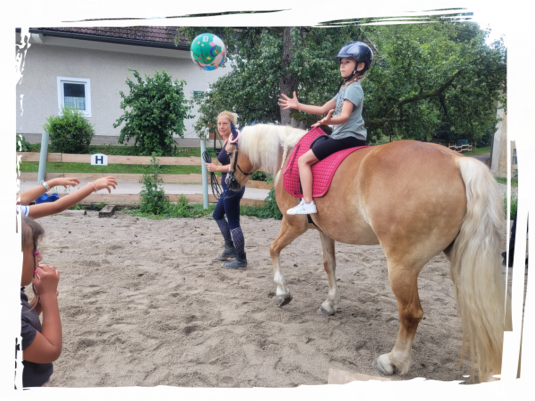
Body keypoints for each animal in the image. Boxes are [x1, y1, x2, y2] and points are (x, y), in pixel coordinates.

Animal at [225, 122, 532, 400]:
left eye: (229, 150)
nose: (230, 183)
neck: (289, 154)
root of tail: (457, 161)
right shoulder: (325, 232)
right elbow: (329, 265)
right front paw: (330, 303)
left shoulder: (293, 225)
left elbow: (272, 250)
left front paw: (282, 292)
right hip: (461, 263)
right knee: (483, 317)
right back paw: (495, 385)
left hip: (402, 267)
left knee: (411, 313)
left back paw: (393, 361)